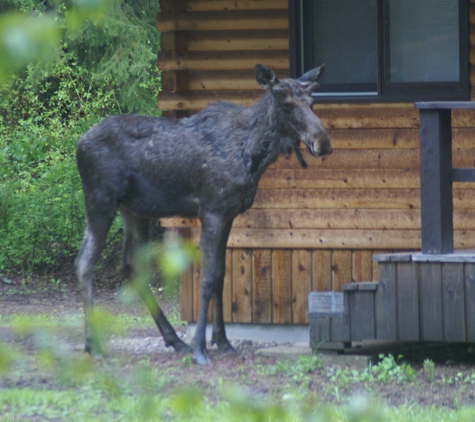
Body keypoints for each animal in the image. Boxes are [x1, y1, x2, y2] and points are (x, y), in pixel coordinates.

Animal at [76, 62, 332, 362]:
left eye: (312, 103)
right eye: (287, 105)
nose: (322, 143)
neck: (253, 156)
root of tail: (79, 143)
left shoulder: (229, 214)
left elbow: (220, 276)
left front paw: (222, 340)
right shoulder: (212, 211)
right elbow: (207, 278)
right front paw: (200, 347)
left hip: (132, 211)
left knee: (130, 266)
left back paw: (175, 340)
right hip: (100, 199)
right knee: (85, 262)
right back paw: (93, 344)